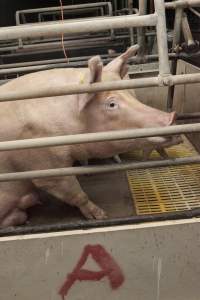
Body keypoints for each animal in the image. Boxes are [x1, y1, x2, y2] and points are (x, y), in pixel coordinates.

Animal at [0, 44, 177, 226]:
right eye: (111, 104)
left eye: (132, 95)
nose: (171, 118)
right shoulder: (44, 165)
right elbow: (76, 193)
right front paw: (102, 216)